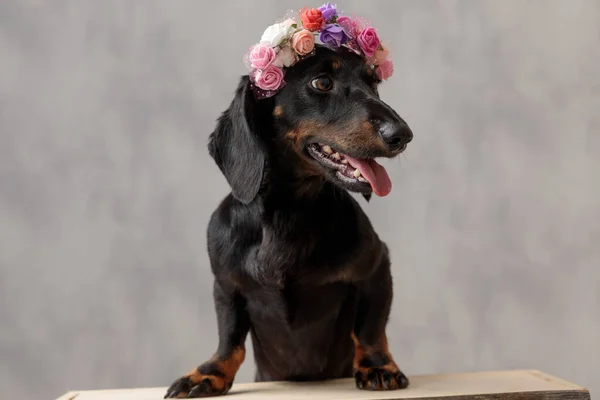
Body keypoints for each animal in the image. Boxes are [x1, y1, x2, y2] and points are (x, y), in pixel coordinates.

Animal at [164, 36, 412, 396]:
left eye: (374, 83)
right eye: (322, 82)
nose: (402, 135)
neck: (289, 213)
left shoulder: (377, 267)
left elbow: (370, 328)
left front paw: (378, 365)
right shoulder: (225, 284)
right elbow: (229, 338)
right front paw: (209, 373)